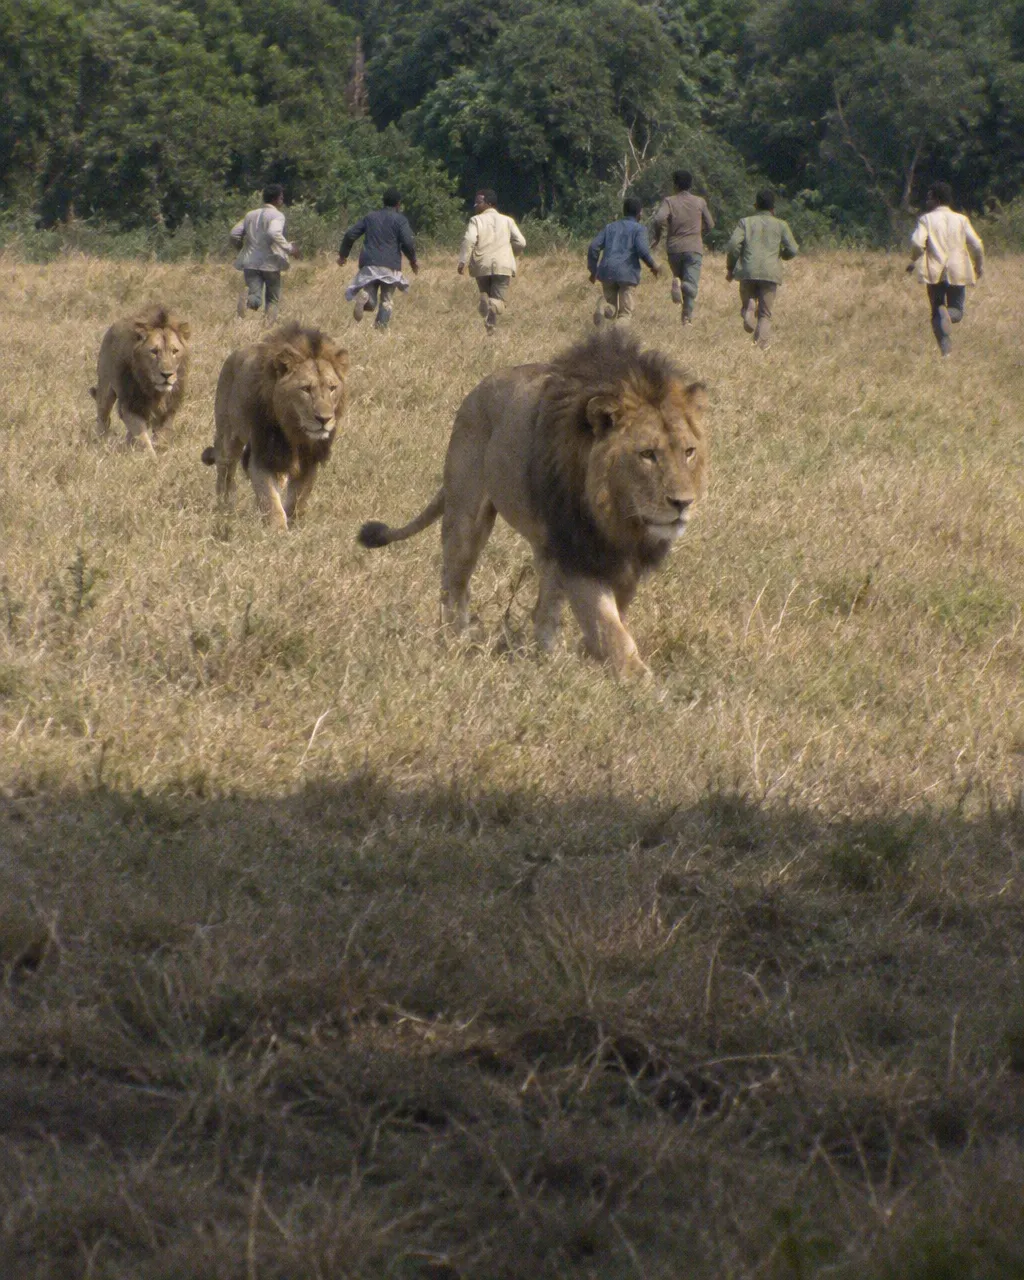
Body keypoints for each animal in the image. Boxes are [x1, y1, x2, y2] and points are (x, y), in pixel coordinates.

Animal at [91, 306, 190, 455]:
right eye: (154, 351)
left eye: (175, 351)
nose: (167, 375)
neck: (154, 389)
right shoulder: (131, 406)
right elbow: (143, 439)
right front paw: (151, 458)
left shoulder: (169, 409)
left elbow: (161, 437)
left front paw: (161, 453)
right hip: (105, 389)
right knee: (103, 419)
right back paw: (102, 446)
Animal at [200, 324, 348, 531]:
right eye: (306, 389)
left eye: (332, 388)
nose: (324, 419)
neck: (295, 432)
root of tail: (234, 355)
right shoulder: (262, 455)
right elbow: (270, 499)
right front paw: (277, 531)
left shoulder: (310, 460)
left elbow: (298, 499)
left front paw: (295, 525)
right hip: (228, 436)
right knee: (225, 470)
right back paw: (225, 506)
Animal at [358, 328, 709, 677]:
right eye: (647, 454)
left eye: (688, 452)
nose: (683, 503)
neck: (617, 515)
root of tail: (475, 391)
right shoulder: (576, 551)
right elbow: (607, 624)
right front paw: (640, 679)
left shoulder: (620, 560)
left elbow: (614, 617)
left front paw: (594, 656)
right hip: (467, 517)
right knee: (454, 582)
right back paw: (455, 639)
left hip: (545, 545)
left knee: (543, 608)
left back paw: (548, 657)